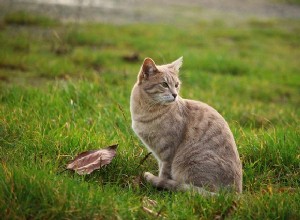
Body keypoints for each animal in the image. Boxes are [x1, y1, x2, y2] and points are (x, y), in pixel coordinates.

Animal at [130, 57, 243, 196]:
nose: (175, 95)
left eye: (176, 85)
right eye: (164, 84)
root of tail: (234, 194)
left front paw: (159, 186)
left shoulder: (168, 153)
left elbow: (164, 174)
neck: (147, 110)